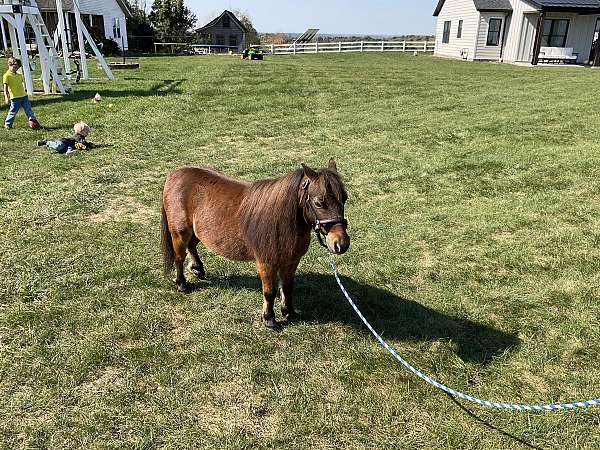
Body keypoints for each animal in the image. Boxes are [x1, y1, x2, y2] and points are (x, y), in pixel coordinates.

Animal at [161, 160, 352, 328]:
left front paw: (289, 312)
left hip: (197, 230)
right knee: (179, 257)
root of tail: (174, 174)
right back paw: (182, 284)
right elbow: (269, 291)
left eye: (345, 198)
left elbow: (287, 287)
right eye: (319, 202)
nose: (341, 243)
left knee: (192, 246)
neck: (280, 221)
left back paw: (197, 269)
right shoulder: (266, 263)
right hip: (180, 233)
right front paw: (269, 319)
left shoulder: (291, 261)